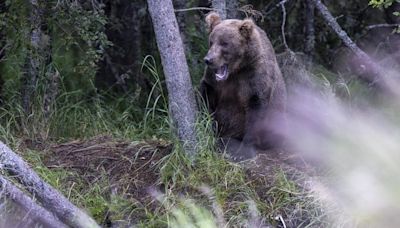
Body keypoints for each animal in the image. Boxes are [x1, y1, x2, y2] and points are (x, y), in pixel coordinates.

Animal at [200, 12, 288, 160]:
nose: (208, 60)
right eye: (211, 41)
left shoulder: (254, 76)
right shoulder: (215, 81)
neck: (237, 70)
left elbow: (255, 107)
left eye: (224, 43)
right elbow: (207, 95)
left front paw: (245, 149)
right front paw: (207, 125)